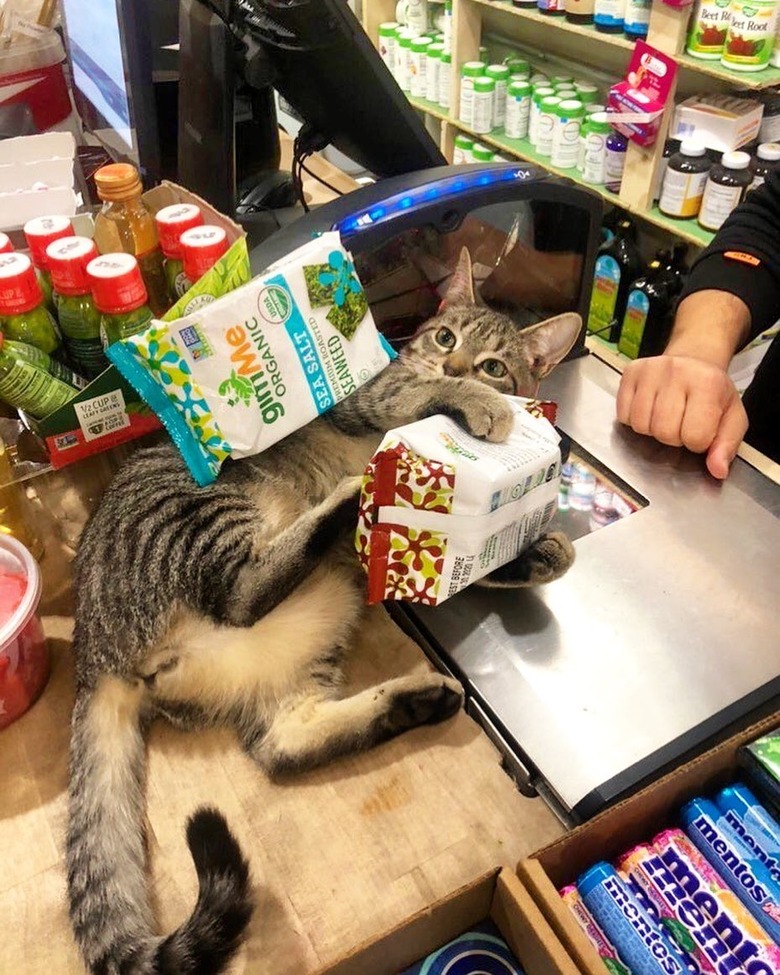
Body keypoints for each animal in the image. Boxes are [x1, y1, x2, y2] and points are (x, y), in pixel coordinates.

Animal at [67, 250, 580, 975]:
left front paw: (541, 549)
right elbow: (410, 395)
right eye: (445, 338)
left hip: (314, 628)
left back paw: (412, 697)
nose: (456, 369)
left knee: (283, 745)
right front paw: (468, 408)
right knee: (242, 592)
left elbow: (480, 563)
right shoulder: (376, 398)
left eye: (495, 365)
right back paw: (348, 498)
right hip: (202, 512)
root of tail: (92, 656)